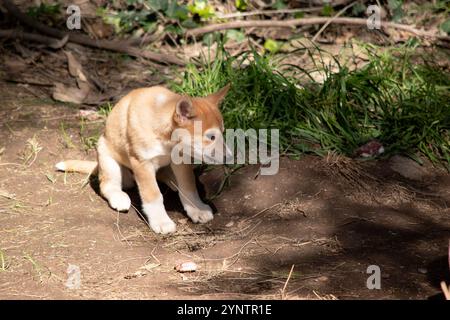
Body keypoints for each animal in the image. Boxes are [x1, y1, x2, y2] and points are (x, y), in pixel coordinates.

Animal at [56, 84, 230, 235]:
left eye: (222, 132)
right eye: (211, 137)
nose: (230, 156)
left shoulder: (181, 159)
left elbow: (189, 186)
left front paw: (197, 209)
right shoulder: (142, 163)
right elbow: (153, 194)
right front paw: (161, 221)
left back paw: (172, 180)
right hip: (108, 160)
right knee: (107, 185)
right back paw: (119, 197)